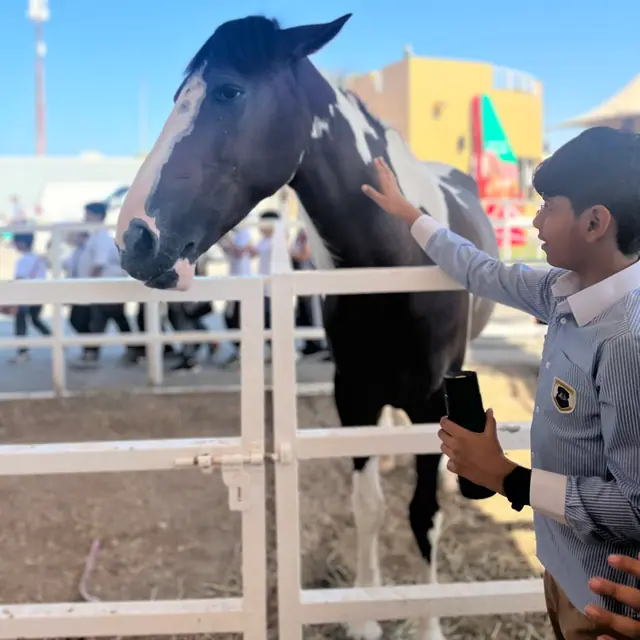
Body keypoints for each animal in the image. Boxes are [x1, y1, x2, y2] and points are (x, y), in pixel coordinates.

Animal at [114, 14, 498, 640]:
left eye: (229, 91)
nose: (134, 238)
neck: (394, 264)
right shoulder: (354, 395)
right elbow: (368, 506)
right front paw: (365, 613)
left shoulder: (429, 400)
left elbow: (424, 516)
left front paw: (427, 625)